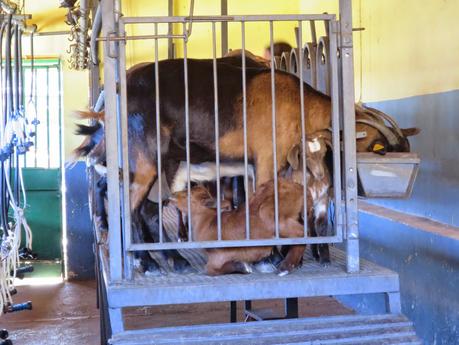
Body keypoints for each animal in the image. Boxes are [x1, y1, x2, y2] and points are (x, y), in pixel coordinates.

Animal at [170, 179, 310, 276]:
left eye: (188, 195)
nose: (173, 195)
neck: (208, 221)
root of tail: (299, 187)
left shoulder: (218, 257)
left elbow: (210, 270)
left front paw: (243, 267)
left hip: (271, 215)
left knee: (301, 233)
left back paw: (285, 268)